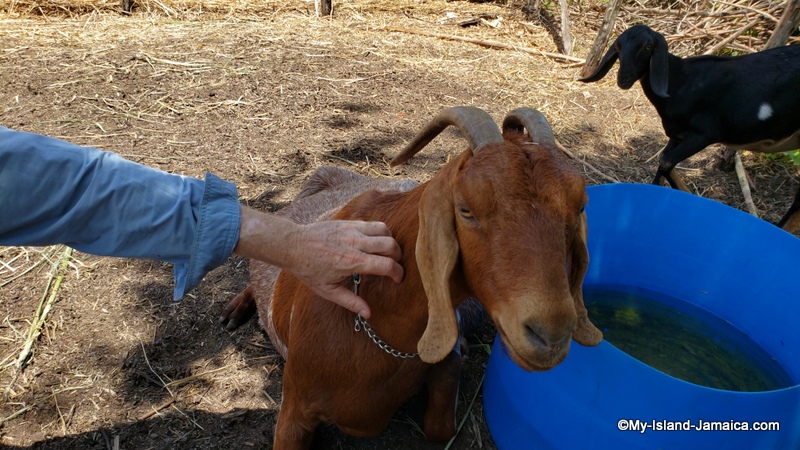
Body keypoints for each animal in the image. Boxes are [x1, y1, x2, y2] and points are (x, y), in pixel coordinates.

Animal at [220, 106, 602, 449]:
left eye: (580, 205)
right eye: (466, 209)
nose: (550, 336)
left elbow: (440, 427)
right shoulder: (293, 409)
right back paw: (233, 310)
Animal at [580, 24, 800, 232]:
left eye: (647, 47)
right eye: (618, 46)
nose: (623, 79)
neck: (682, 81)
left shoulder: (703, 135)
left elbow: (666, 161)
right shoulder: (676, 135)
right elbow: (661, 166)